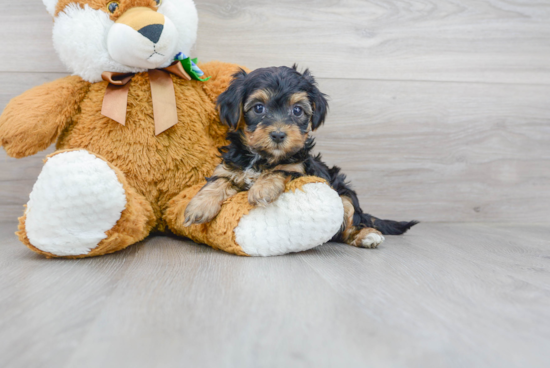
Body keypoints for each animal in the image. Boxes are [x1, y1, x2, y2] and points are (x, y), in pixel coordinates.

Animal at [185, 66, 418, 250]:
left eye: (297, 110)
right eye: (259, 108)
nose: (279, 135)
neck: (262, 157)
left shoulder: (299, 168)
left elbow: (282, 169)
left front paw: (263, 188)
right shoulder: (231, 166)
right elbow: (219, 180)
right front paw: (199, 206)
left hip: (345, 196)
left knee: (349, 226)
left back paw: (366, 236)